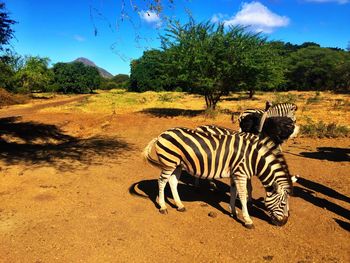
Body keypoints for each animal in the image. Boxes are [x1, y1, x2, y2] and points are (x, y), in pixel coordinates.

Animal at [142, 128, 292, 229]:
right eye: (283, 203)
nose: (284, 223)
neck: (253, 158)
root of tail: (161, 134)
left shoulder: (235, 174)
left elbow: (233, 192)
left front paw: (233, 212)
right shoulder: (240, 173)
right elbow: (242, 195)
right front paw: (248, 220)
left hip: (178, 164)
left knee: (172, 182)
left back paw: (180, 205)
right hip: (169, 162)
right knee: (162, 181)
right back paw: (162, 206)